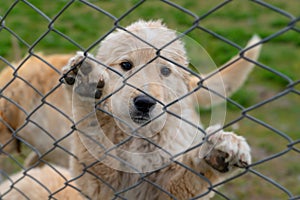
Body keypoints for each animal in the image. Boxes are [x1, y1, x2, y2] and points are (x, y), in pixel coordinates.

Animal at [0, 19, 260, 198]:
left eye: (165, 71)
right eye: (126, 65)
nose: (144, 102)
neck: (136, 138)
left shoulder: (164, 187)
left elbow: (188, 177)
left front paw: (218, 152)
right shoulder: (95, 183)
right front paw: (86, 83)